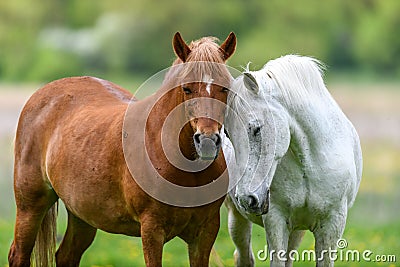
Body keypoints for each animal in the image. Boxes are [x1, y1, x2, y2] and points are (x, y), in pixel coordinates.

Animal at [7, 32, 236, 266]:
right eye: (186, 88)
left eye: (225, 87)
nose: (207, 141)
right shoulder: (152, 229)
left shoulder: (205, 231)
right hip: (31, 206)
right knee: (18, 254)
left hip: (82, 215)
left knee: (66, 256)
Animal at [223, 55, 364, 266]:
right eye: (227, 133)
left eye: (256, 129)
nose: (247, 199)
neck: (310, 163)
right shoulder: (276, 220)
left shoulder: (333, 223)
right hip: (237, 217)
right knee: (243, 257)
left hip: (297, 230)